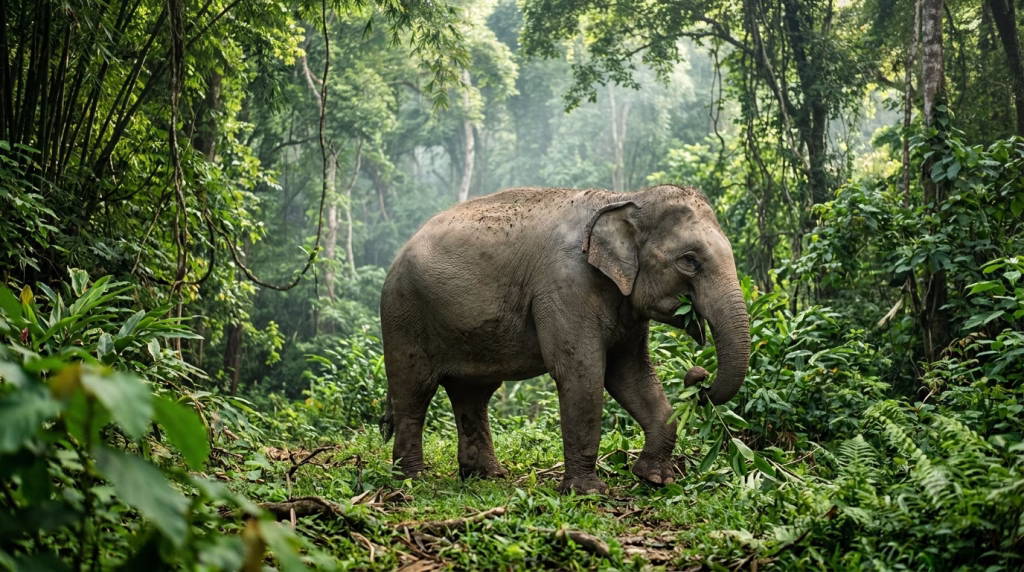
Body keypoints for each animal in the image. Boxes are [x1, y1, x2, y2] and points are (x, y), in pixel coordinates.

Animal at [378, 184, 751, 494]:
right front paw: (587, 492)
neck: (624, 196)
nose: (698, 376)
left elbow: (630, 374)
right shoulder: (565, 286)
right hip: (403, 315)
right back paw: (411, 480)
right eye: (690, 260)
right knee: (414, 392)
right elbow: (583, 371)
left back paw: (486, 476)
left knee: (472, 394)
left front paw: (655, 479)